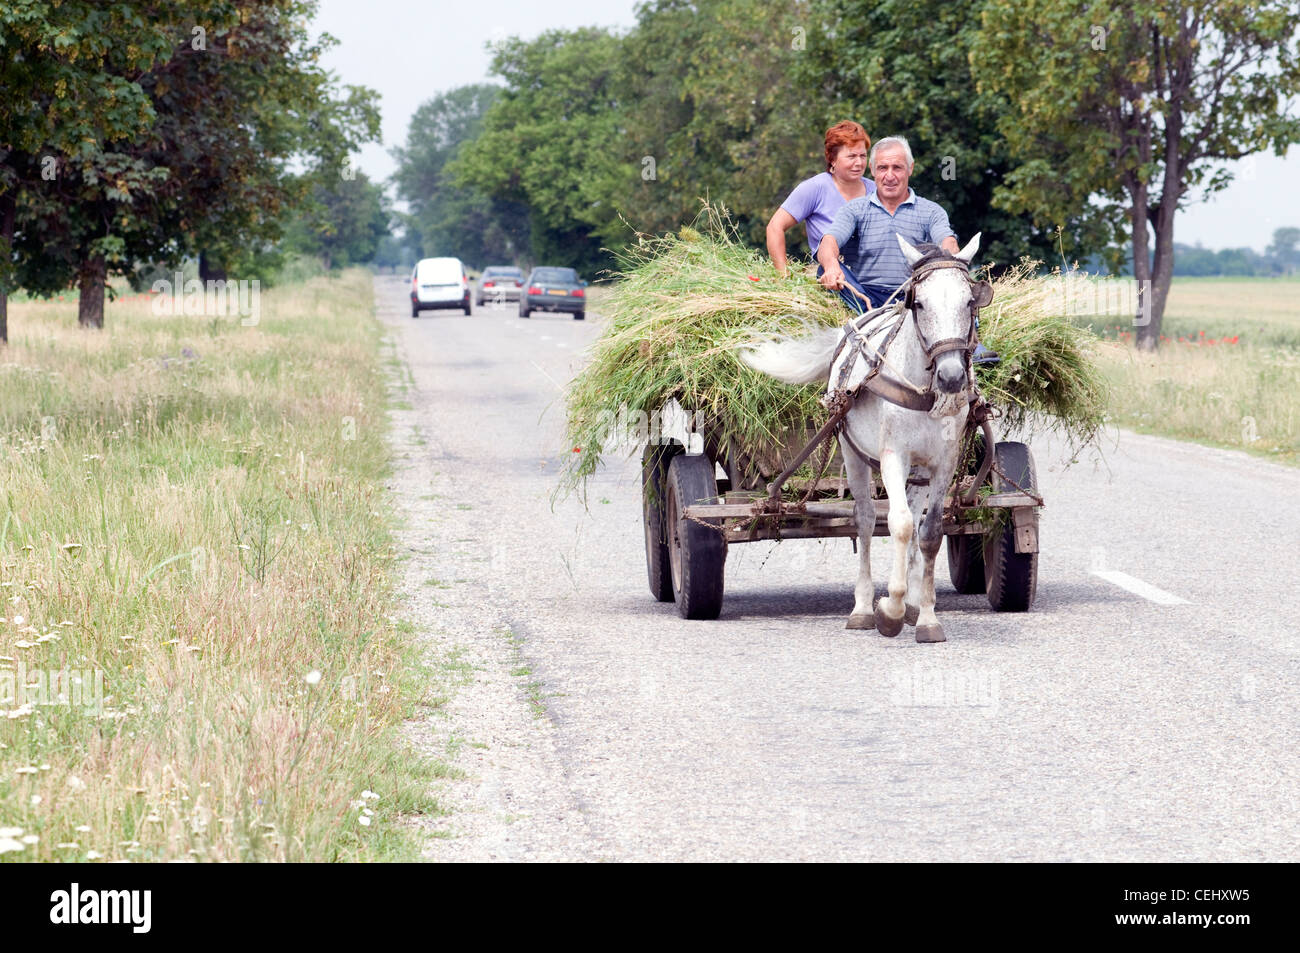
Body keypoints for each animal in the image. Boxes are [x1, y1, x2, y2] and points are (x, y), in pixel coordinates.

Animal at [743, 234, 993, 642]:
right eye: (918, 303)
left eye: (970, 302)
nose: (952, 377)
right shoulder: (892, 456)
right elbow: (898, 525)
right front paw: (888, 610)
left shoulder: (943, 463)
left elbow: (929, 532)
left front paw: (925, 616)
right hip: (852, 452)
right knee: (864, 519)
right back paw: (862, 608)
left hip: (918, 474)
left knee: (912, 521)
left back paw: (910, 604)